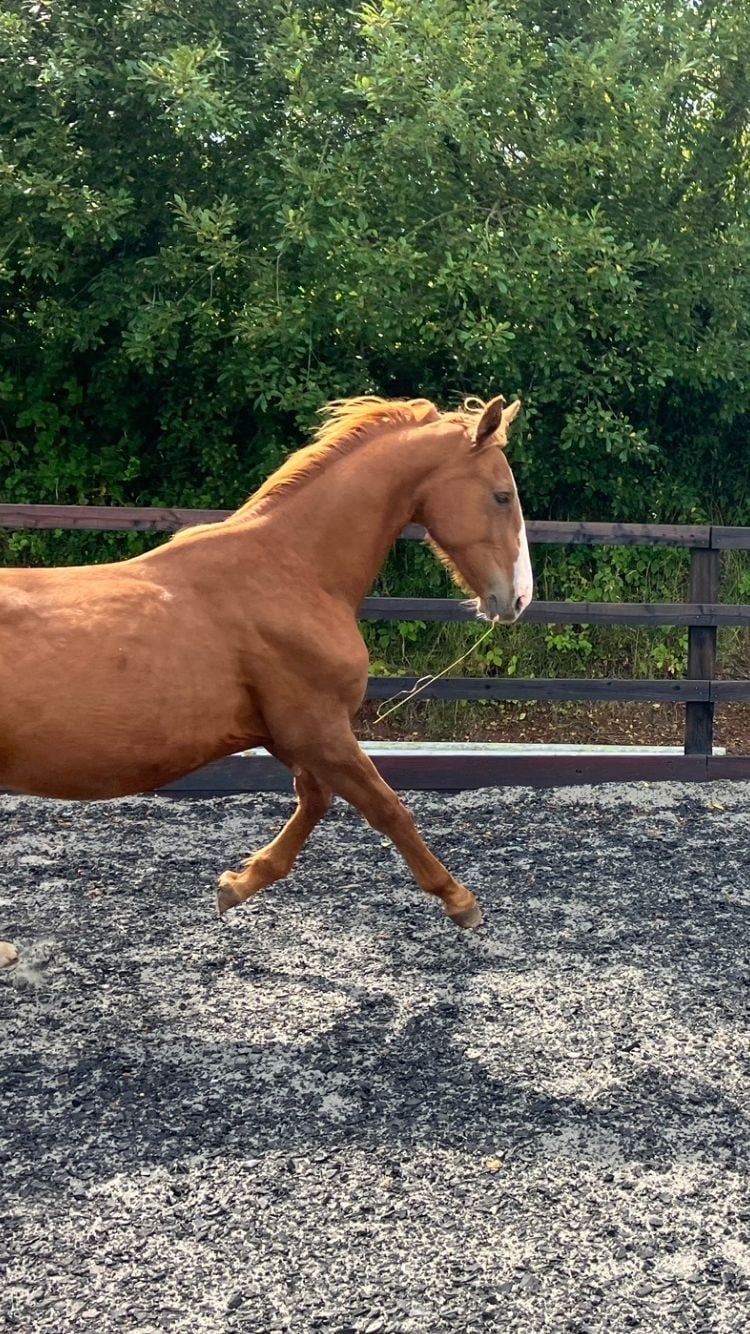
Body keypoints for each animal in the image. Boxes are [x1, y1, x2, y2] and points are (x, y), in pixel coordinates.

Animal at [0, 393, 532, 964]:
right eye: (502, 496)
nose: (519, 599)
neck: (293, 572)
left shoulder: (287, 734)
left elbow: (316, 801)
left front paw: (236, 884)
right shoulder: (319, 729)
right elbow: (388, 809)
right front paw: (461, 901)